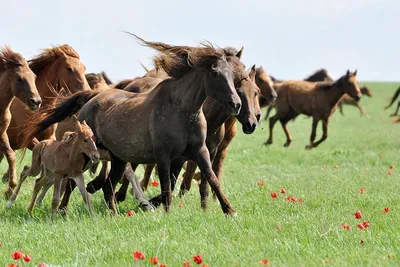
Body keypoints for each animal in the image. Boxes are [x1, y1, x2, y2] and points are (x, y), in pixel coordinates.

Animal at [0, 45, 42, 197]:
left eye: (34, 76)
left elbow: (10, 154)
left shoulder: (2, 133)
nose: (36, 102)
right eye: (19, 78)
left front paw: (10, 188)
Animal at [23, 35, 242, 216]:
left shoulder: (200, 151)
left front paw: (229, 210)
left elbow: (211, 179)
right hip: (87, 156)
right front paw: (166, 212)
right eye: (215, 73)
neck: (182, 110)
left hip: (118, 158)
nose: (236, 104)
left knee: (108, 186)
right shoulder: (163, 155)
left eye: (232, 75)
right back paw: (63, 210)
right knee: (71, 183)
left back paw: (113, 213)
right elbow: (166, 184)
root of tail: (92, 99)